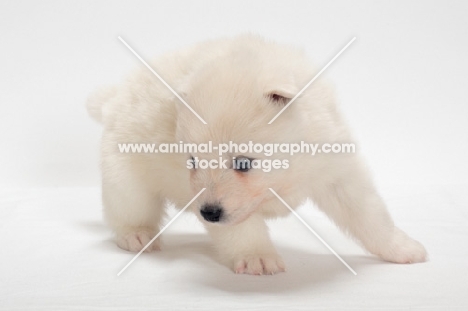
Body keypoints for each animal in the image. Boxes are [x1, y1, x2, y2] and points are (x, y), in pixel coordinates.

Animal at [88, 34, 428, 276]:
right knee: (128, 209)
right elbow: (242, 229)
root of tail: (113, 100)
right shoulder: (223, 205)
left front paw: (402, 248)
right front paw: (257, 257)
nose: (208, 213)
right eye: (192, 161)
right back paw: (137, 236)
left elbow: (370, 215)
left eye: (242, 163)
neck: (285, 173)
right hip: (125, 176)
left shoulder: (337, 170)